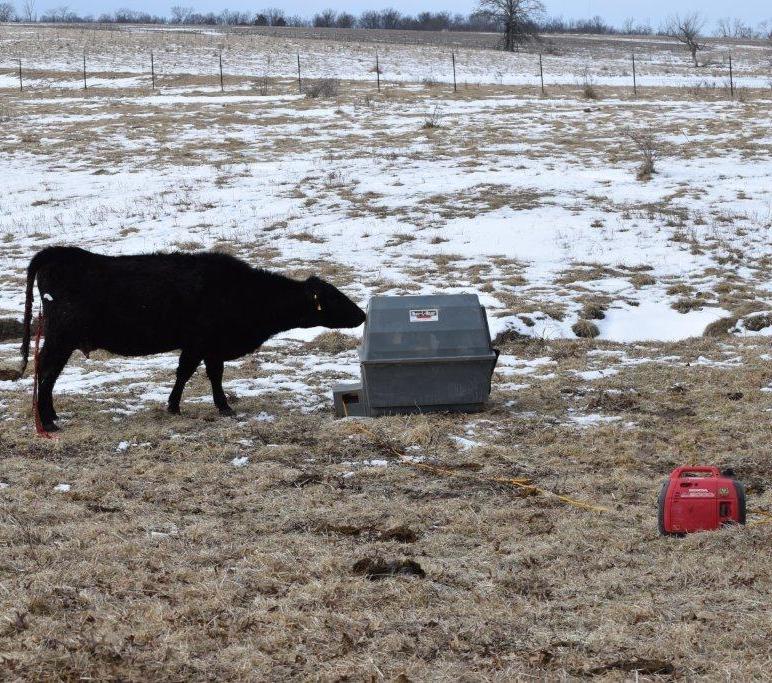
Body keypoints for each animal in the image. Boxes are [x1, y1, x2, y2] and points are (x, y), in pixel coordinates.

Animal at [13, 247, 366, 432]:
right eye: (335, 298)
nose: (362, 314)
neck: (245, 293)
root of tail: (60, 253)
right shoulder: (207, 343)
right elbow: (206, 374)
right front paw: (221, 407)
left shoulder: (201, 346)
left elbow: (189, 373)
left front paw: (176, 405)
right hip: (61, 337)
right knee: (46, 372)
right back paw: (48, 422)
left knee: (48, 374)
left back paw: (51, 415)